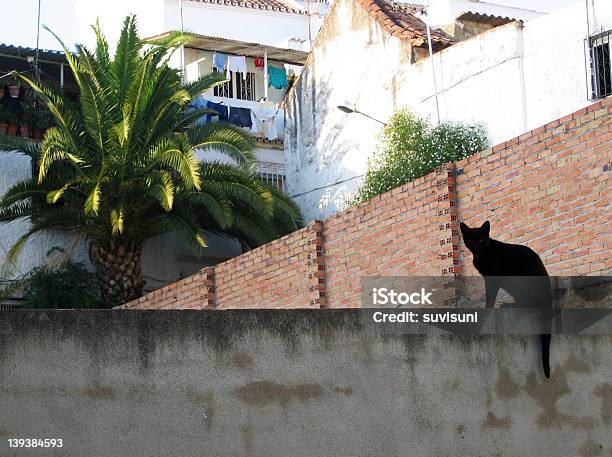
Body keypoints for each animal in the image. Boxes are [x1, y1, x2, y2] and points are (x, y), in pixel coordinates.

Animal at [460, 221, 556, 378]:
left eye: (481, 240)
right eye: (470, 240)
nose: (476, 247)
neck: (481, 255)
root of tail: (550, 297)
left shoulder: (492, 278)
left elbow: (490, 297)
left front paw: (487, 308)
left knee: (530, 304)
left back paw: (507, 305)